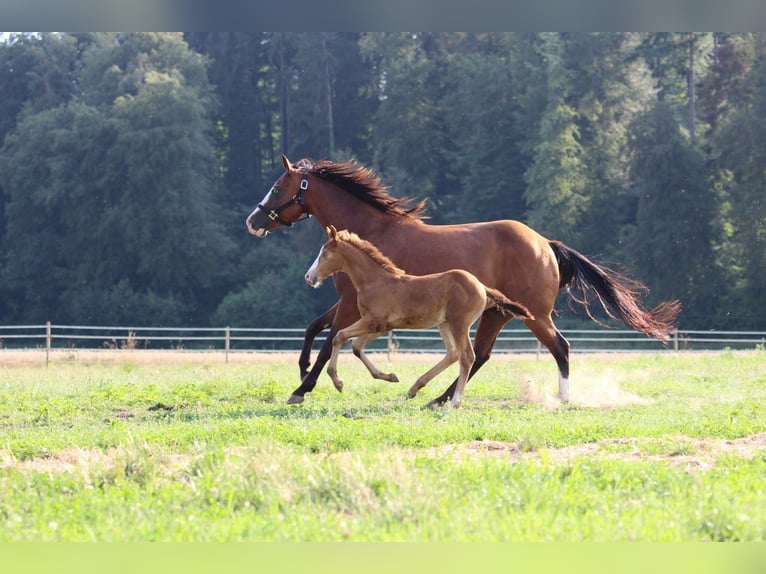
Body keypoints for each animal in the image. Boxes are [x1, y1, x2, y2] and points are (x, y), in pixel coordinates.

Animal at [304, 225, 533, 407]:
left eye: (325, 253)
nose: (309, 277)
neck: (375, 281)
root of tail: (482, 286)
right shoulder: (382, 326)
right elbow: (356, 346)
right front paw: (390, 376)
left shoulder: (372, 321)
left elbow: (340, 336)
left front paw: (338, 382)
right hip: (444, 324)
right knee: (453, 354)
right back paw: (415, 388)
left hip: (459, 324)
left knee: (467, 356)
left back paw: (454, 402)